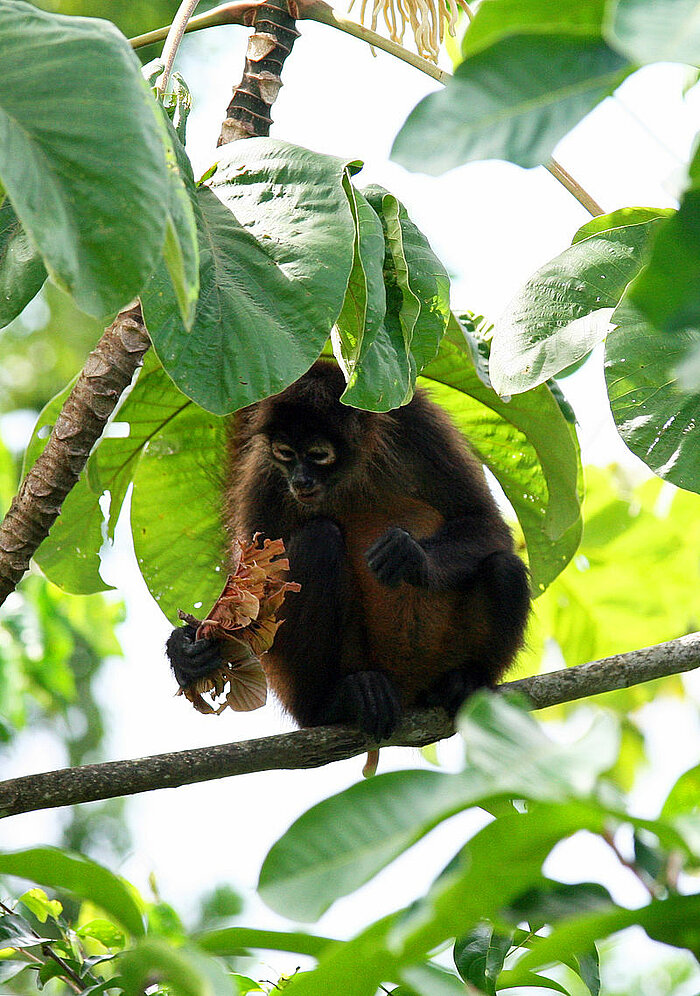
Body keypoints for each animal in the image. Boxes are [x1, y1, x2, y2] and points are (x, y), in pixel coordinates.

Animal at [165, 358, 532, 740]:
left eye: (318, 455)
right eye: (285, 454)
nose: (299, 481)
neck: (350, 475)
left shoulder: (418, 422)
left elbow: (486, 523)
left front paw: (410, 556)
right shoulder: (266, 471)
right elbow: (254, 589)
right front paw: (186, 650)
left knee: (504, 567)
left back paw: (463, 683)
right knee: (318, 539)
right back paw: (333, 703)